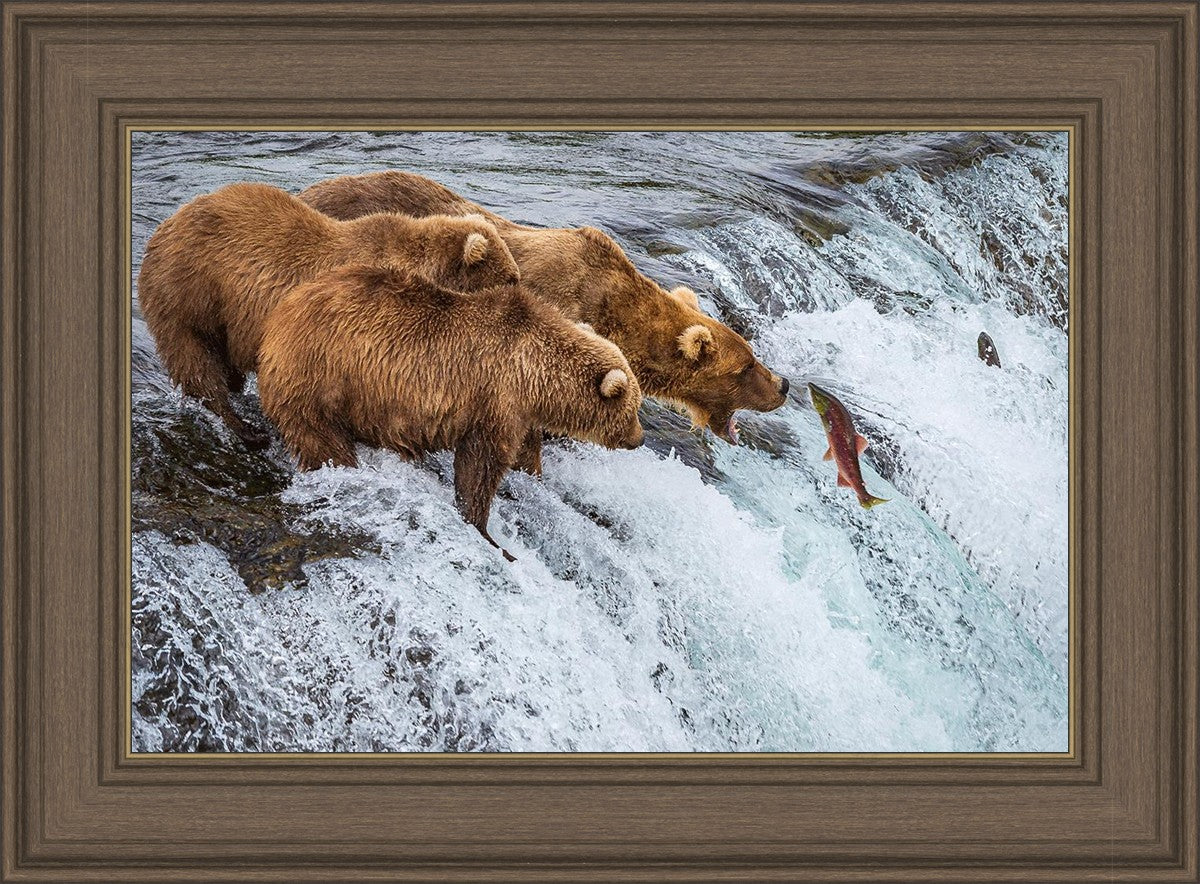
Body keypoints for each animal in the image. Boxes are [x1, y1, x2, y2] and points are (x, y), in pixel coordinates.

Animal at [137, 181, 520, 448]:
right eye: (511, 277)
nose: (522, 291)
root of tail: (164, 226)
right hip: (190, 293)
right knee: (196, 361)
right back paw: (245, 429)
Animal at [257, 263, 645, 560]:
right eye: (633, 409)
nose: (639, 439)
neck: (535, 374)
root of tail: (278, 317)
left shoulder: (519, 412)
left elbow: (523, 453)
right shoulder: (495, 398)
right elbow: (480, 466)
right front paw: (488, 533)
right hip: (320, 378)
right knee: (322, 440)